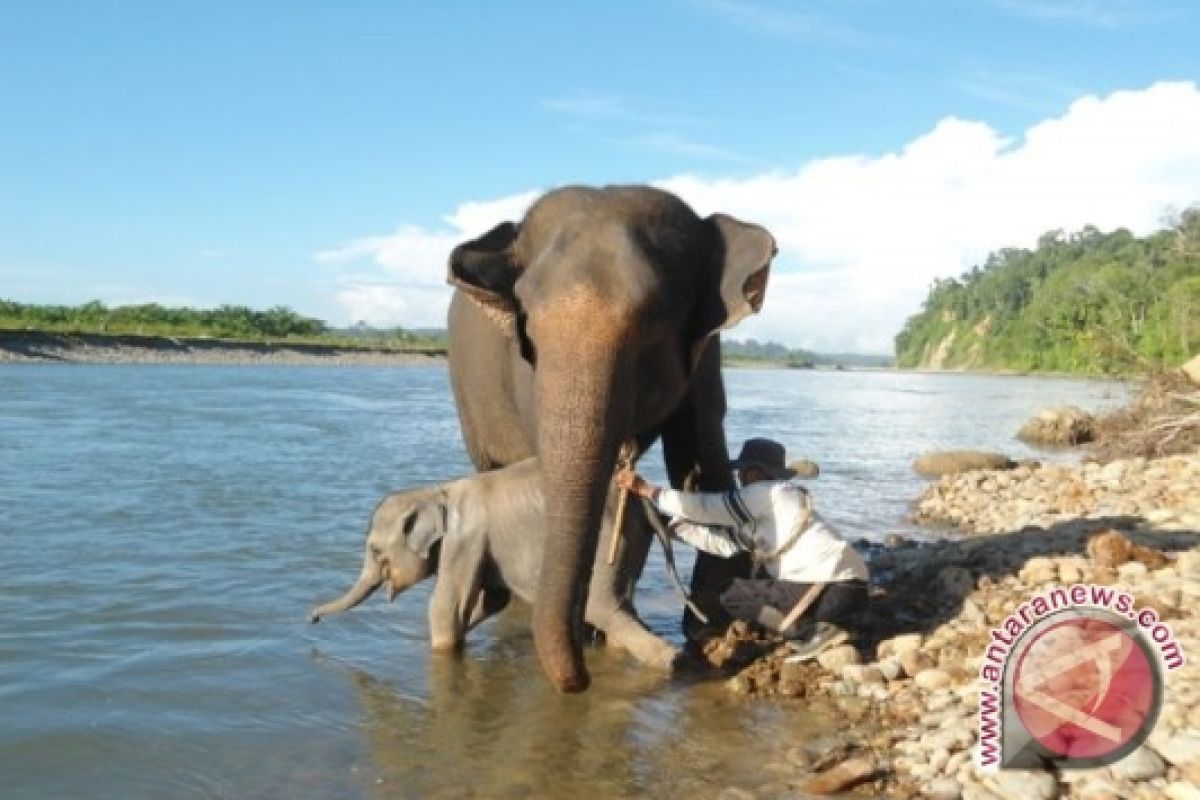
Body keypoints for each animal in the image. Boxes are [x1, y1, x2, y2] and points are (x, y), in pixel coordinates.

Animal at [309, 455, 681, 671]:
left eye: (374, 551)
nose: (310, 618)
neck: (436, 491)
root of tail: (641, 501)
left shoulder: (464, 539)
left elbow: (446, 604)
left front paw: (440, 650)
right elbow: (493, 599)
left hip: (608, 539)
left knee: (603, 607)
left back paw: (671, 662)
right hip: (633, 540)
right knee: (622, 605)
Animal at [446, 184, 772, 690]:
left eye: (653, 321)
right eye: (529, 326)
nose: (580, 681)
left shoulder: (707, 356)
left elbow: (699, 459)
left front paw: (713, 627)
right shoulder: (525, 377)